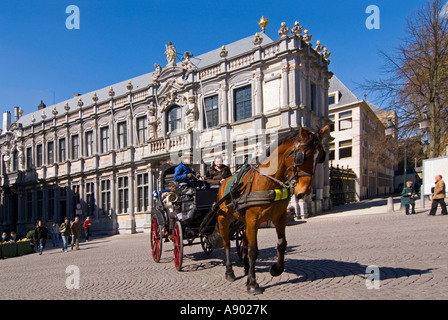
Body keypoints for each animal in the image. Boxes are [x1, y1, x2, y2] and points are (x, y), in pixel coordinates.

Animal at [215, 125, 328, 296]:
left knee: (244, 244)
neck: (269, 183)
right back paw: (230, 272)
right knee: (226, 243)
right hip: (224, 219)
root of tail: (223, 182)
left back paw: (247, 267)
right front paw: (252, 284)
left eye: (321, 157)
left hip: (243, 222)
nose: (304, 192)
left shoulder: (279, 217)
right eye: (302, 156)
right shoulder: (253, 220)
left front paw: (276, 269)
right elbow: (254, 251)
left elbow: (282, 244)